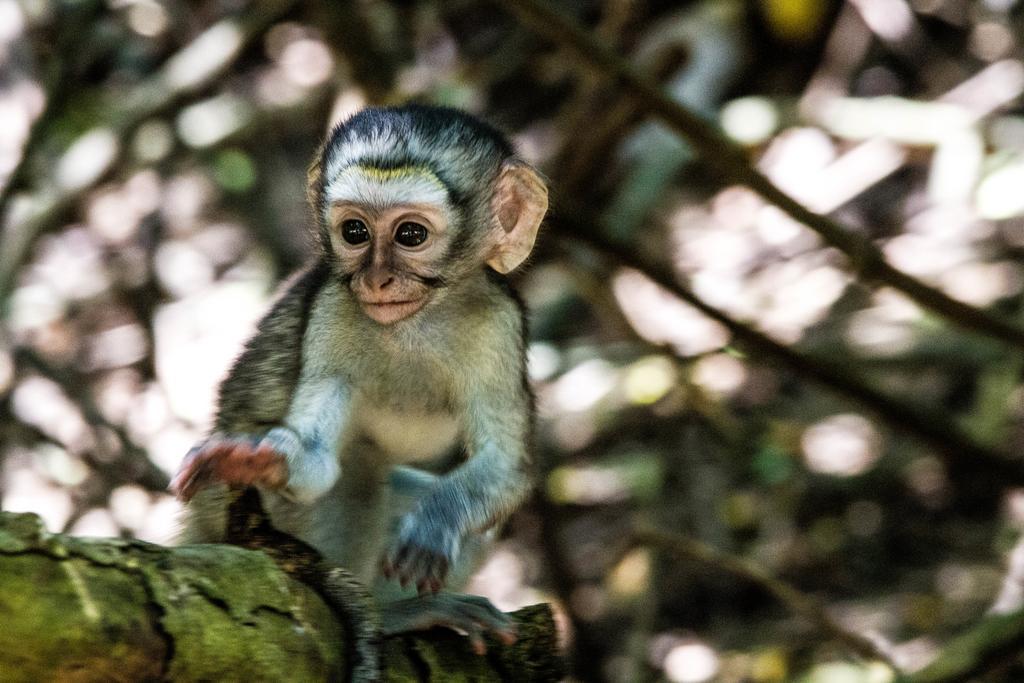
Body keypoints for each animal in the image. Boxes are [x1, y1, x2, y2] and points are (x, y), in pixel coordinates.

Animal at [172, 104, 548, 671]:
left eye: (410, 235)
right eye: (355, 231)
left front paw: (436, 521)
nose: (376, 280)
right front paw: (263, 461)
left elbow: (507, 467)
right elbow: (316, 461)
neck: (415, 322)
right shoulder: (331, 311)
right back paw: (392, 616)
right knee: (357, 473)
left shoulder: (499, 323)